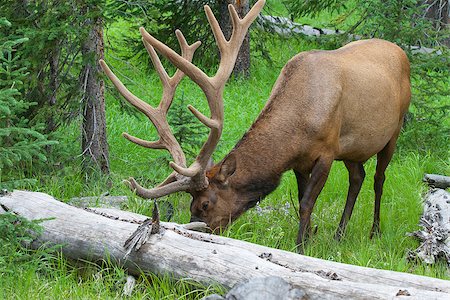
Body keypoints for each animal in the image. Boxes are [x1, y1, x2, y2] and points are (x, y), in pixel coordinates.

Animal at [101, 0, 412, 251]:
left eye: (205, 203)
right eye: (191, 204)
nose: (197, 229)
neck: (298, 128)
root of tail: (401, 50)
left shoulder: (327, 151)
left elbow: (306, 203)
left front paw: (301, 247)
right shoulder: (301, 162)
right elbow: (303, 200)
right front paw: (310, 238)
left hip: (394, 131)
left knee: (378, 179)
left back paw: (374, 231)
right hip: (354, 149)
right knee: (358, 176)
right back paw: (339, 234)